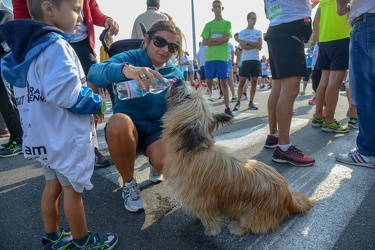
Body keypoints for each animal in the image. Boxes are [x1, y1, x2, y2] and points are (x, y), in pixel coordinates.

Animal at [163, 80, 316, 236]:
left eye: (187, 96)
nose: (179, 80)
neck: (194, 150)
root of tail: (288, 198)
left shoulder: (202, 200)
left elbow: (209, 218)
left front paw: (211, 230)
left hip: (253, 215)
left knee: (251, 226)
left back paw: (236, 227)